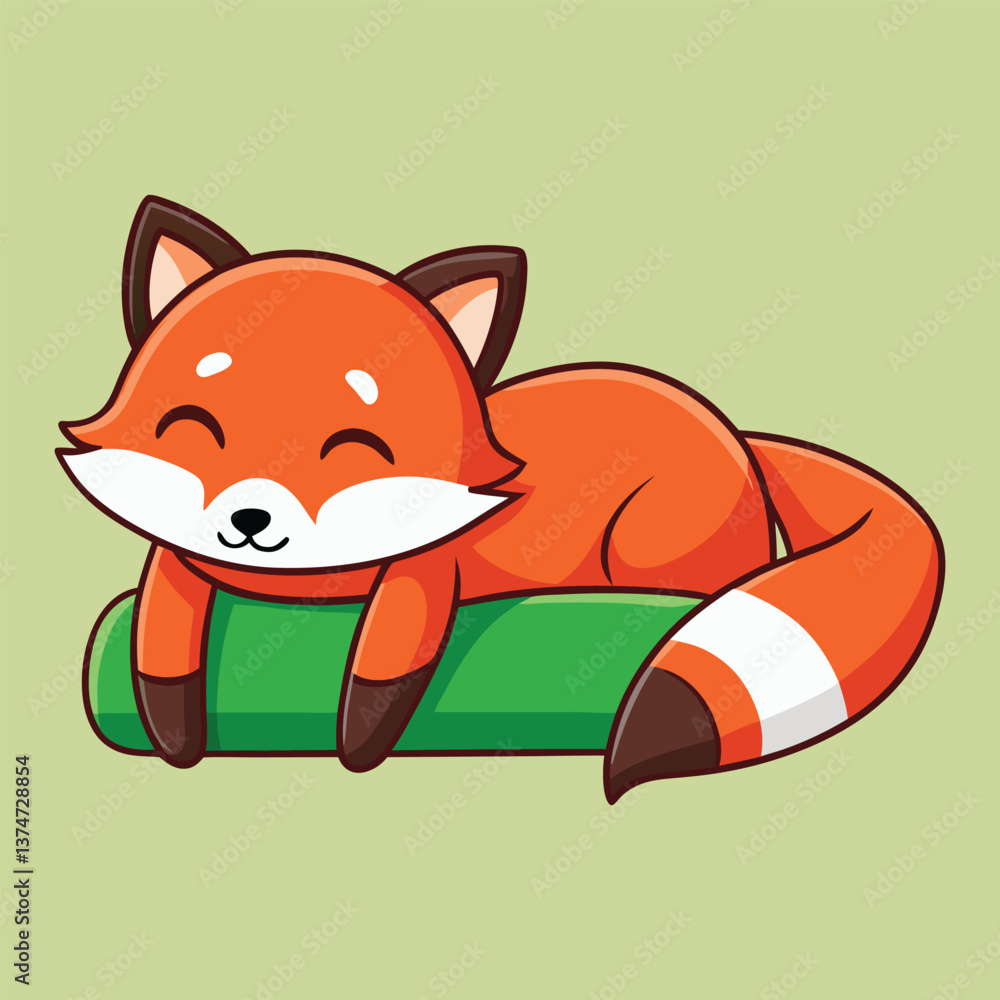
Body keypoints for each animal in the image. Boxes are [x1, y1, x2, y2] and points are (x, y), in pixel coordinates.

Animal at [58, 196, 944, 803]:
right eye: (191, 428)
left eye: (354, 449)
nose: (249, 519)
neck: (305, 582)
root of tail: (736, 434)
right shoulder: (178, 559)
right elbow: (161, 636)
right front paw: (173, 730)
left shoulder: (427, 570)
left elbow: (390, 658)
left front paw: (362, 740)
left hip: (658, 548)